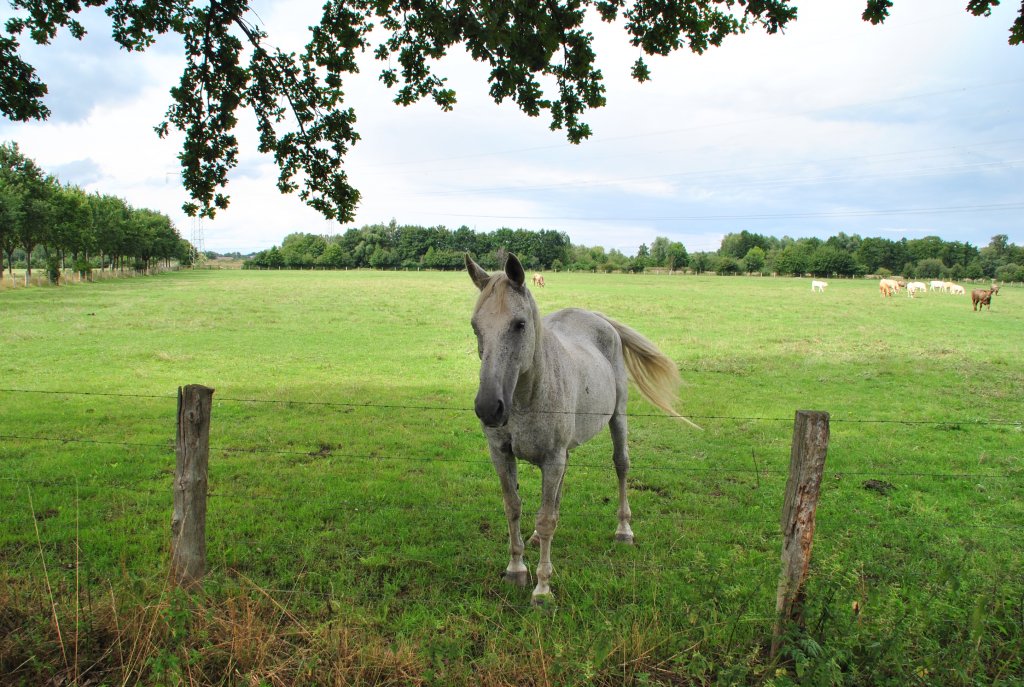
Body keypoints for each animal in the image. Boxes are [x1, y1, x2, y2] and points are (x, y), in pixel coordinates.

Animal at [468, 252, 700, 602]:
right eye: (475, 326)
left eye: (520, 324)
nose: (488, 408)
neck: (527, 396)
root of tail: (598, 318)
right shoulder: (502, 454)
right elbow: (514, 508)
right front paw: (516, 569)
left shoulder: (552, 458)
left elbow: (547, 518)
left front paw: (542, 589)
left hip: (618, 417)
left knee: (621, 466)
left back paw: (624, 530)